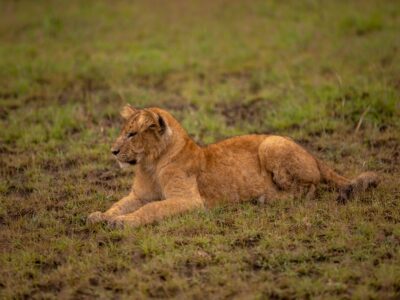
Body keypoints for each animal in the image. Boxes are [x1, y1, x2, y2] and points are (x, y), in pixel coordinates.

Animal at [87, 105, 378, 227]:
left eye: (131, 134)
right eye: (124, 132)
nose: (113, 152)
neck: (150, 164)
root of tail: (314, 155)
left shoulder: (189, 200)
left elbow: (151, 209)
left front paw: (122, 223)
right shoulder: (138, 195)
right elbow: (120, 204)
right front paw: (100, 216)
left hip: (271, 144)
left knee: (309, 189)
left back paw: (267, 199)